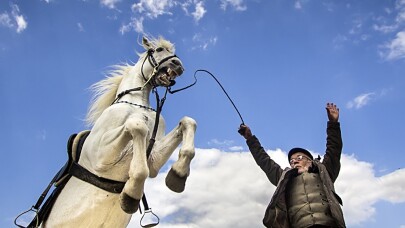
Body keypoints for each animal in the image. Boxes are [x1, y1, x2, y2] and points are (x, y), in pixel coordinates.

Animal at [41, 36, 196, 227]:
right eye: (158, 50)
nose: (179, 65)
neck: (137, 103)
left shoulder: (153, 159)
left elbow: (188, 122)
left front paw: (178, 175)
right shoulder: (100, 157)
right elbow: (138, 126)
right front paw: (131, 195)